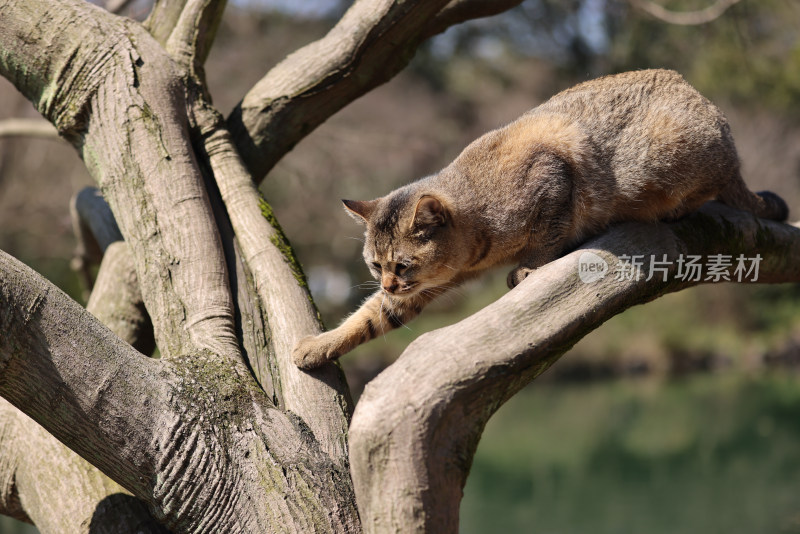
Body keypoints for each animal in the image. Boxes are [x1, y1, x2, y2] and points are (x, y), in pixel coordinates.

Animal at [292, 69, 788, 370]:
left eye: (402, 264)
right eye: (376, 265)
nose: (389, 283)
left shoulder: (552, 175)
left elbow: (547, 234)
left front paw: (530, 265)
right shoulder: (419, 291)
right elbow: (369, 318)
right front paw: (319, 346)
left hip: (671, 158)